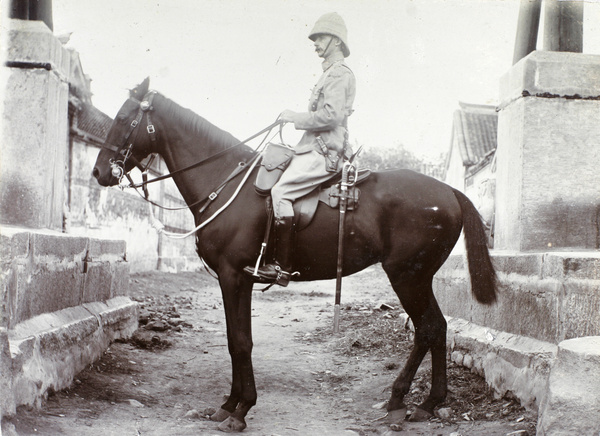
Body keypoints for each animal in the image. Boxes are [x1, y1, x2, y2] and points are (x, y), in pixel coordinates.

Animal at [94, 79, 496, 432]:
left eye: (124, 118)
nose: (99, 172)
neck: (226, 181)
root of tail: (449, 191)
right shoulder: (236, 279)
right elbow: (235, 339)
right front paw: (229, 404)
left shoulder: (233, 275)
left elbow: (240, 342)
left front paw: (242, 409)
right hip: (417, 278)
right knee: (436, 329)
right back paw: (426, 402)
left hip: (407, 276)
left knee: (428, 328)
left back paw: (405, 400)